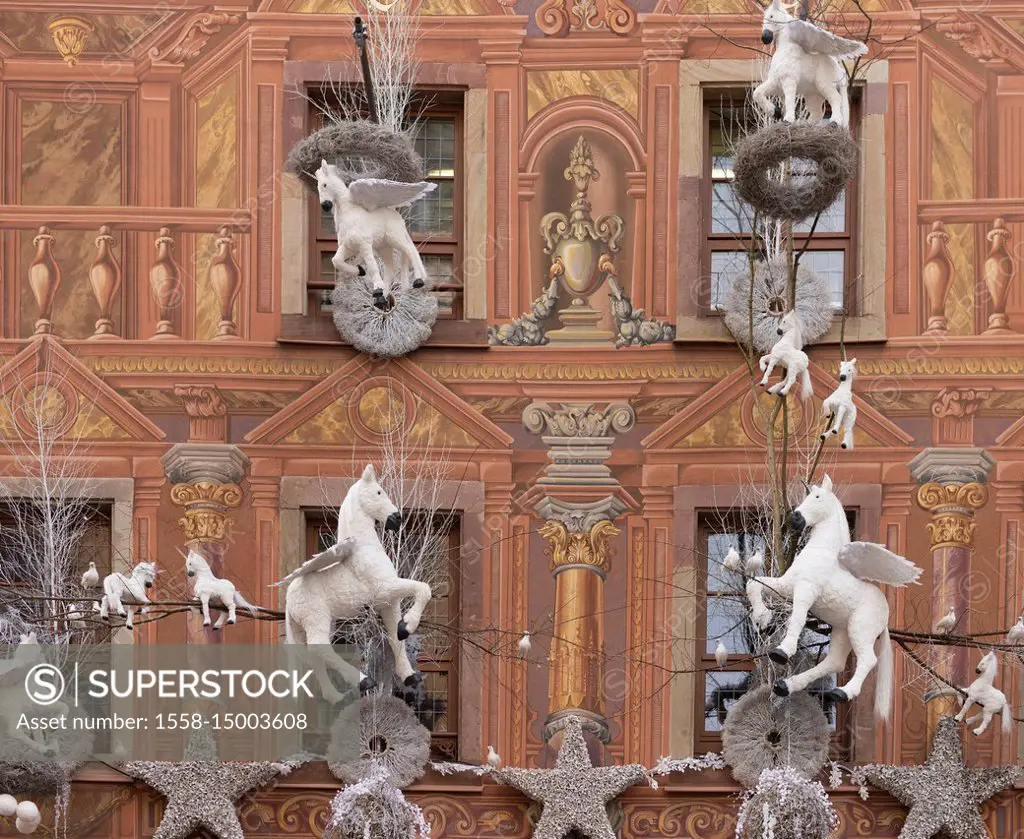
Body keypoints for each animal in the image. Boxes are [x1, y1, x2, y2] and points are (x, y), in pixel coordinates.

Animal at [272, 463, 432, 704]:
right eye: (378, 492)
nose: (397, 518)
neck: (365, 549)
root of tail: (290, 597)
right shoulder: (385, 589)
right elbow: (423, 588)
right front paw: (409, 625)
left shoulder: (388, 603)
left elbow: (395, 638)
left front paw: (409, 673)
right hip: (317, 619)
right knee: (320, 649)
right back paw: (362, 681)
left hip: (317, 624)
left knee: (316, 655)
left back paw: (335, 696)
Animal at [315, 158, 436, 309]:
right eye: (318, 187)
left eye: (325, 185)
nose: (325, 206)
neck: (349, 213)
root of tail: (397, 216)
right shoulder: (348, 246)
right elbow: (336, 261)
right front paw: (360, 270)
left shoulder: (364, 244)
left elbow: (372, 266)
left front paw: (377, 289)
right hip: (384, 247)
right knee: (391, 267)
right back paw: (381, 299)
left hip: (396, 239)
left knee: (410, 252)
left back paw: (418, 280)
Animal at [745, 475, 921, 725]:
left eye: (817, 497)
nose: (795, 518)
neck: (821, 551)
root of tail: (885, 615)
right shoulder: (787, 586)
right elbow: (754, 585)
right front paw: (763, 619)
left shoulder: (805, 590)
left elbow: (797, 619)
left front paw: (781, 652)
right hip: (842, 631)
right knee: (834, 662)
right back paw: (785, 686)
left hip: (860, 630)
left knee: (868, 660)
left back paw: (843, 692)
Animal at [757, 0, 868, 129]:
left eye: (771, 16)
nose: (765, 37)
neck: (784, 50)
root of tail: (840, 71)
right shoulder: (775, 82)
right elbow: (757, 93)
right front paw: (775, 112)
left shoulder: (789, 81)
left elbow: (789, 100)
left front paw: (787, 120)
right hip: (814, 95)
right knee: (817, 113)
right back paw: (803, 123)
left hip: (825, 85)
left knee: (836, 99)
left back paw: (834, 121)